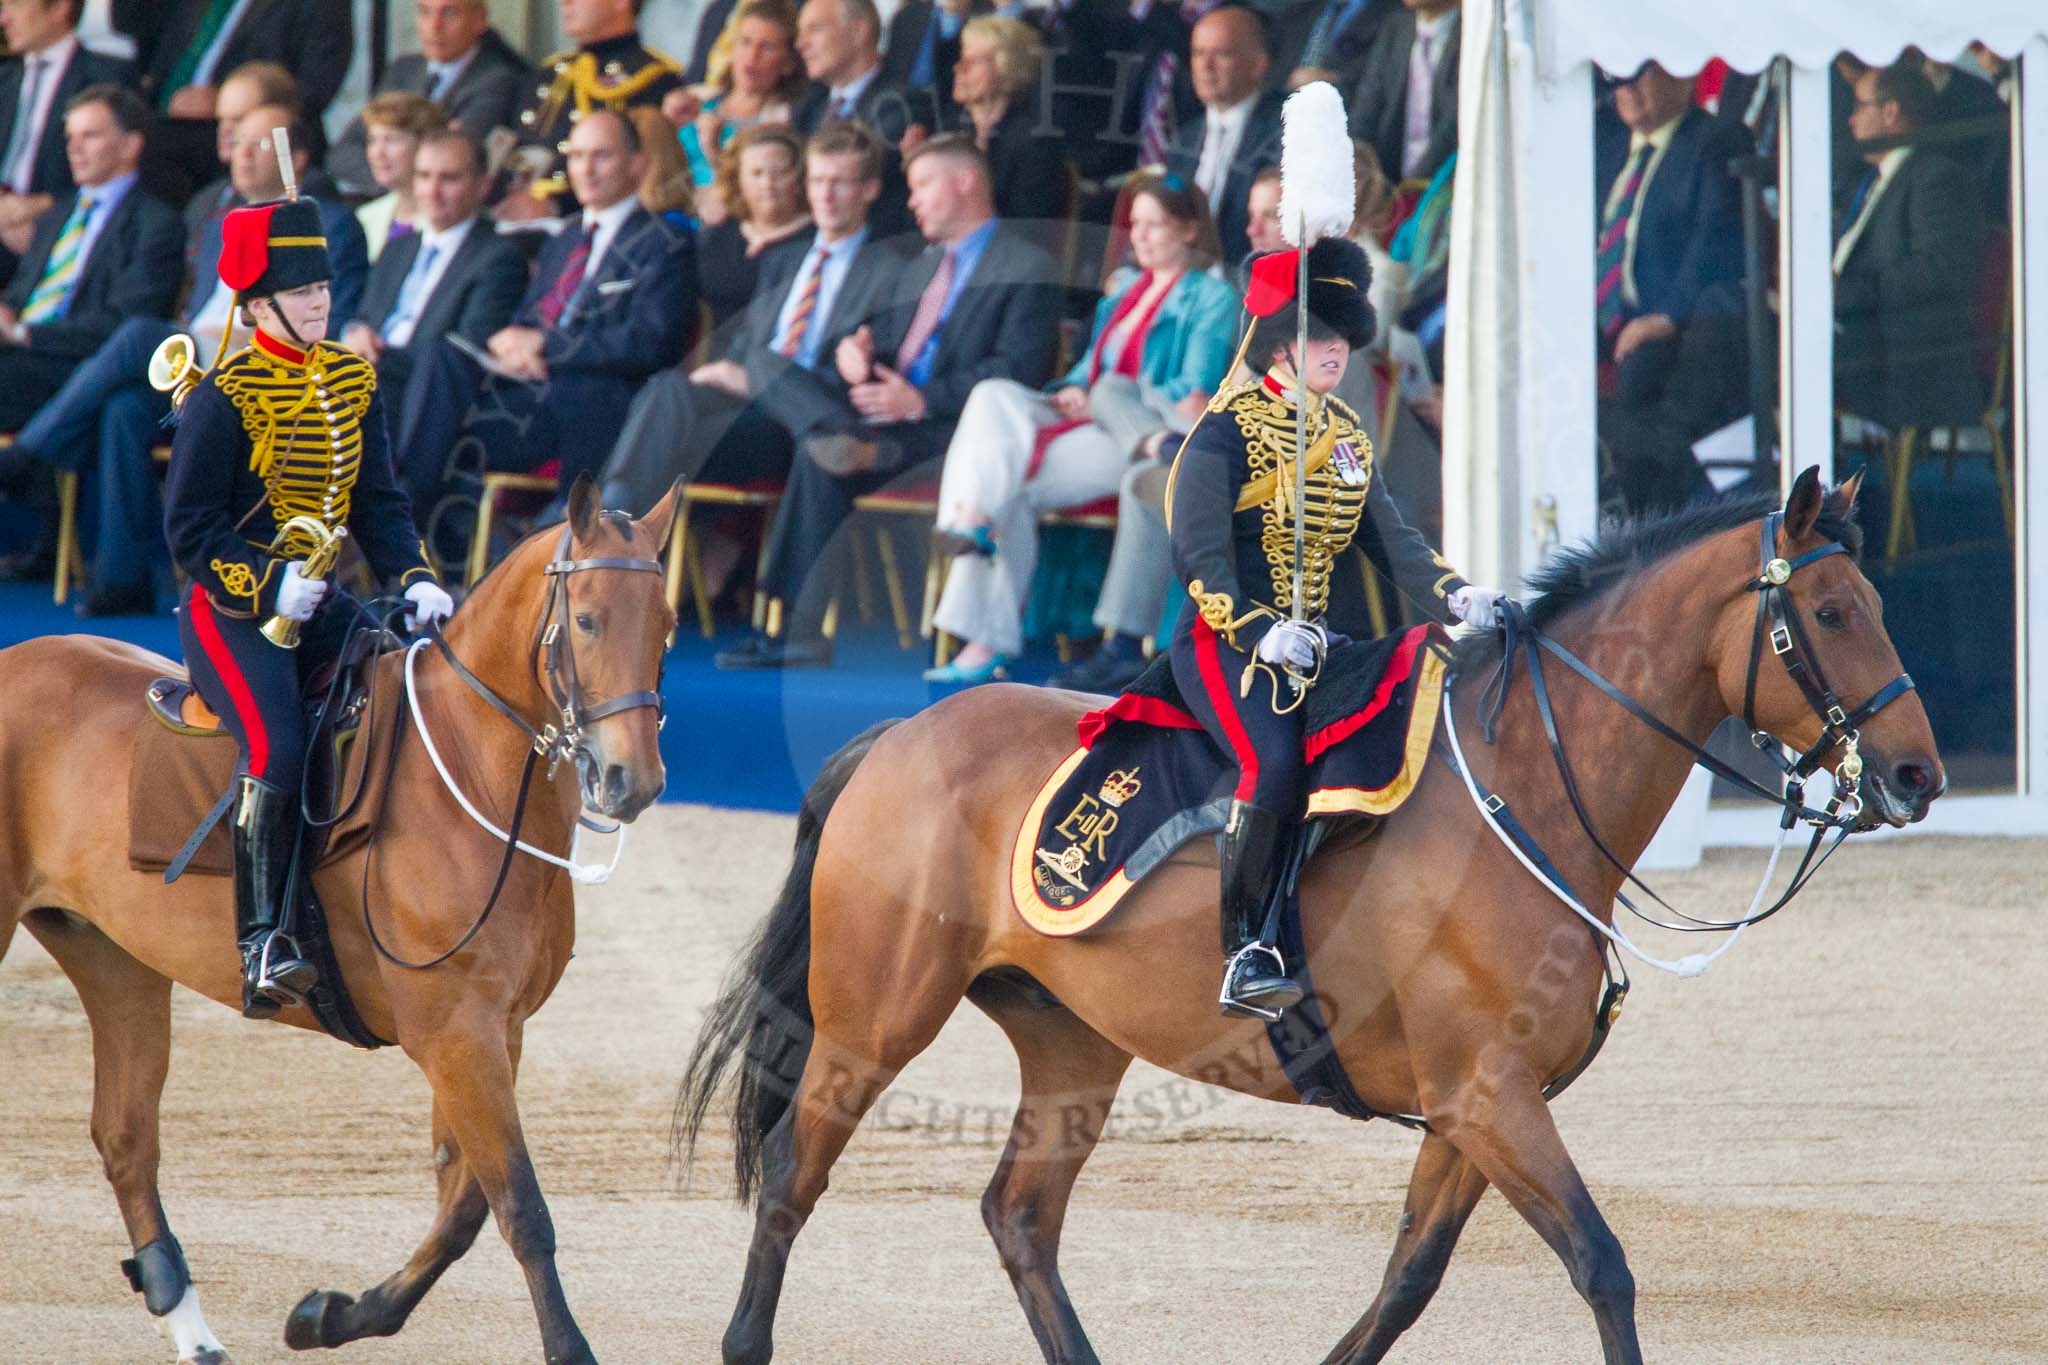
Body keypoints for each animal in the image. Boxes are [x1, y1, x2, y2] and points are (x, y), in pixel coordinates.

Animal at [0, 480, 684, 1365]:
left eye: (666, 623)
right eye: (591, 620)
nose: (632, 780)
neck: (472, 773)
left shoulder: (495, 1029)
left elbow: (464, 1207)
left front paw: (332, 1314)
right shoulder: (456, 1032)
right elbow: (521, 1208)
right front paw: (569, 1348)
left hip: (116, 960)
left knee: (126, 1137)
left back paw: (188, 1321)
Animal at [679, 470, 1941, 1365]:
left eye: (1875, 604)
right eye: (1831, 611)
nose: (1916, 775)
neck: (1527, 792)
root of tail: (898, 733)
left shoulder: (1469, 1109)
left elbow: (1406, 1283)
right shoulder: (1487, 1097)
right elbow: (1601, 1264)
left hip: (1068, 1040)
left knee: (1019, 1216)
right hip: (874, 1023)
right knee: (792, 1176)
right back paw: (743, 1341)